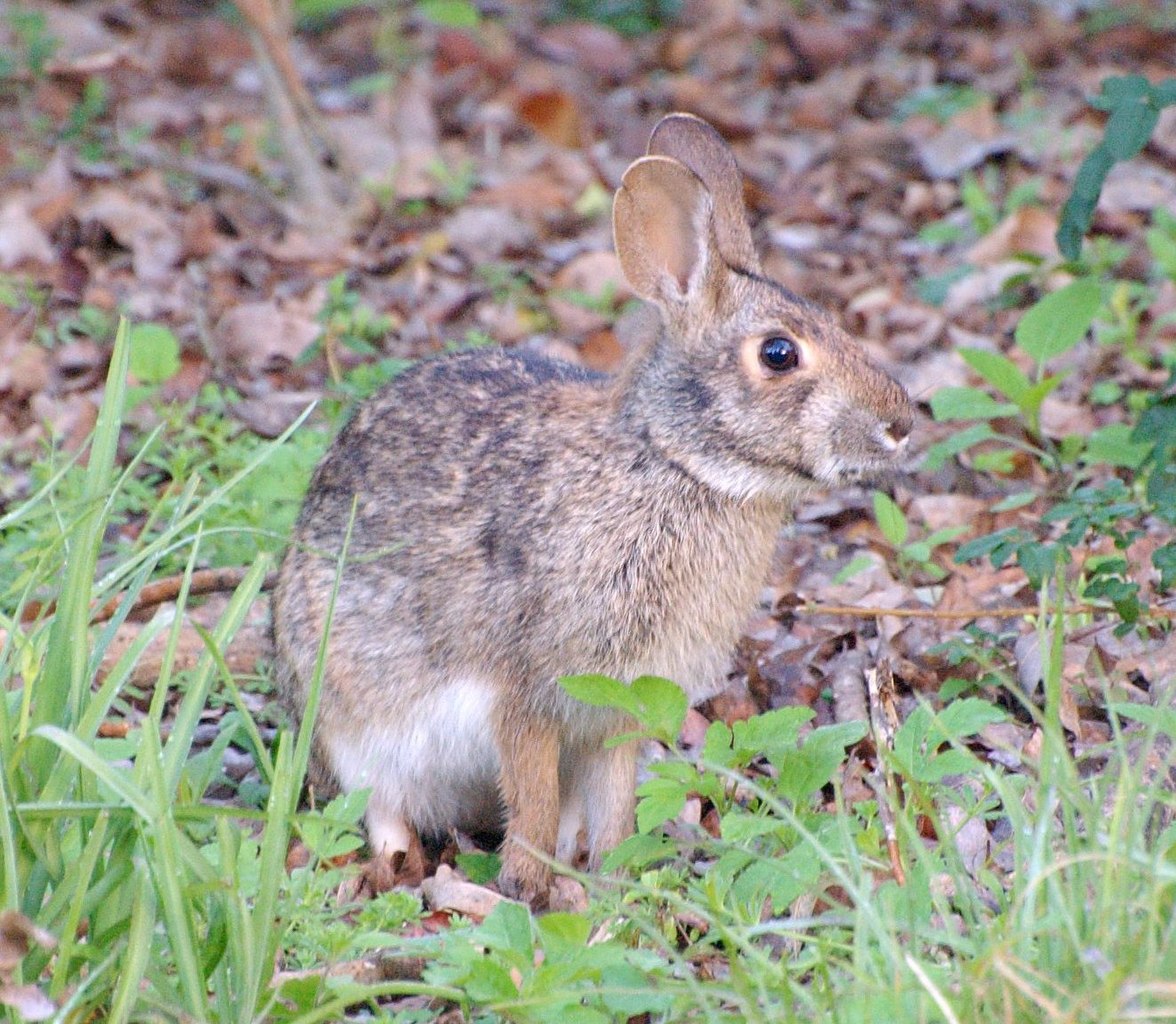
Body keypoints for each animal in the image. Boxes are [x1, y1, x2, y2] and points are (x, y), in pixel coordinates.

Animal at [270, 112, 912, 902]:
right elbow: (532, 796)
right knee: (379, 803)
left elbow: (613, 801)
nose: (900, 423)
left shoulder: (618, 708)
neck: (670, 460)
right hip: (347, 712)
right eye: (779, 354)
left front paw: (614, 881)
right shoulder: (528, 690)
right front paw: (528, 888)